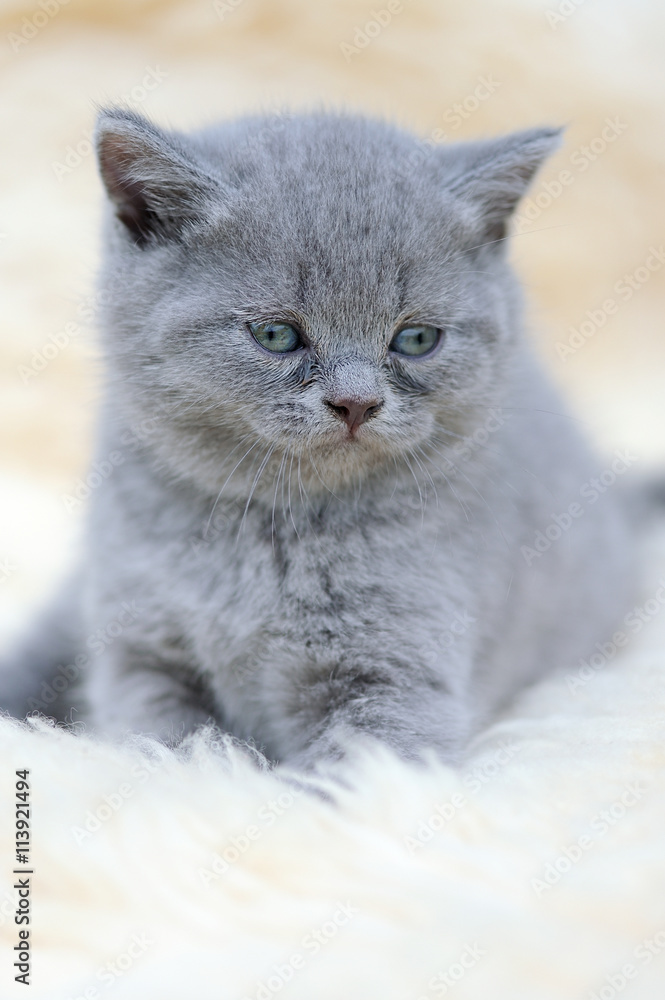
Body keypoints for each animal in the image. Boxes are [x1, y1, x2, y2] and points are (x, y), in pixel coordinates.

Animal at [0, 107, 636, 764]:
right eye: (276, 334)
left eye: (416, 339)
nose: (356, 403)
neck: (266, 534)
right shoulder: (141, 655)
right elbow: (172, 745)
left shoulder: (394, 680)